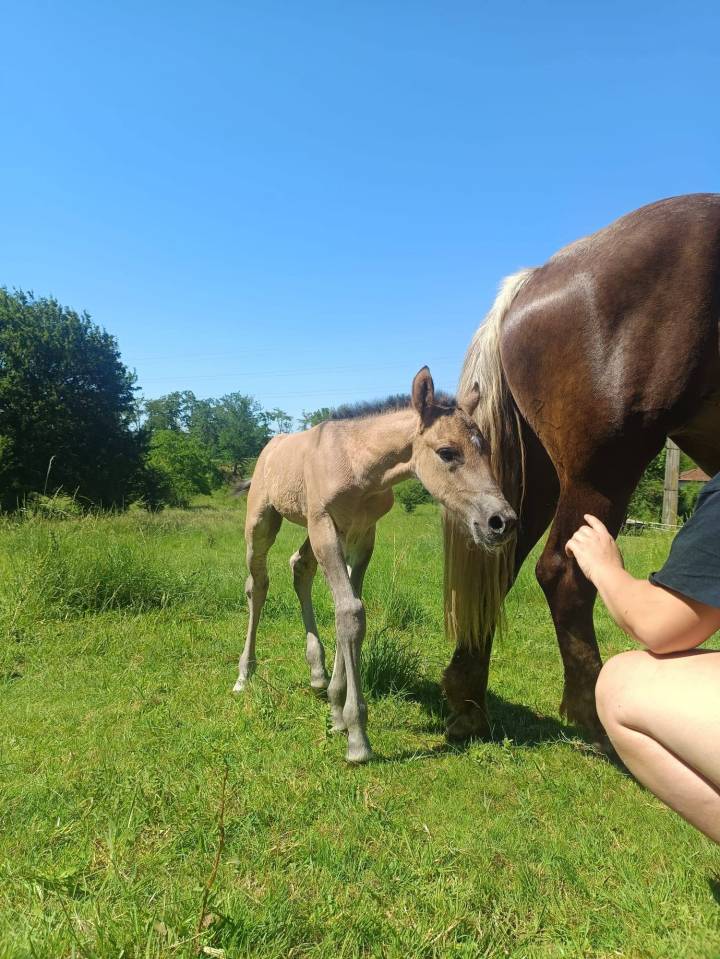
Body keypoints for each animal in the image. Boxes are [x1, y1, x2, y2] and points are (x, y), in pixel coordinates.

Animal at [235, 366, 516, 763]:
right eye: (447, 452)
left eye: (486, 449)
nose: (502, 522)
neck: (358, 464)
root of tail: (269, 447)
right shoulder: (325, 525)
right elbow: (350, 611)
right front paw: (357, 737)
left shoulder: (362, 534)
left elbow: (349, 613)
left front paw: (337, 711)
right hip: (262, 520)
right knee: (257, 584)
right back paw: (244, 675)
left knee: (299, 567)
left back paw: (317, 674)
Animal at [442, 193, 720, 744]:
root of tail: (533, 280)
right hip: (604, 469)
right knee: (565, 575)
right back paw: (593, 719)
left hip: (538, 479)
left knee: (499, 562)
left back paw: (467, 703)